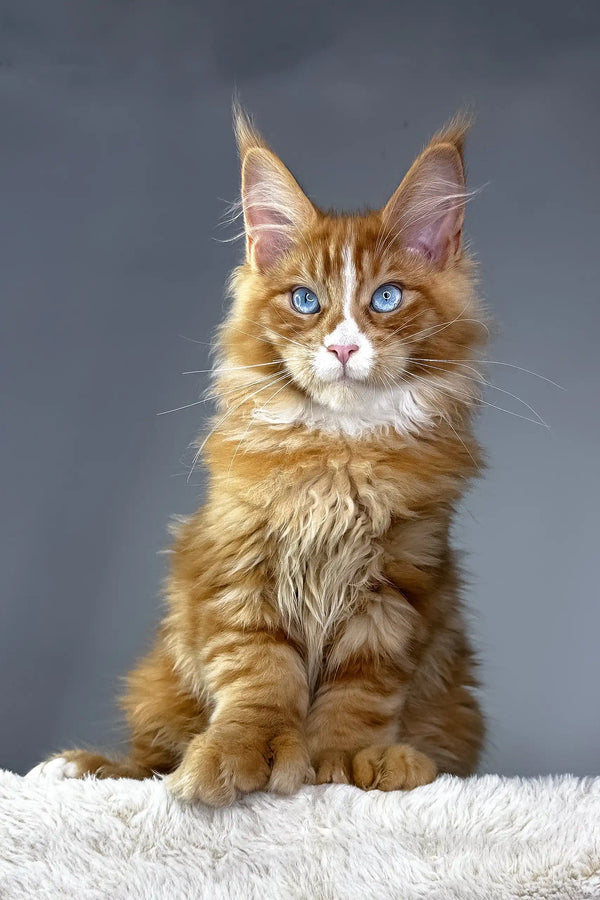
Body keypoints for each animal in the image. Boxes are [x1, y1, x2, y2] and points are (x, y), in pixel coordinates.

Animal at [30, 107, 486, 808]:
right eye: (305, 300)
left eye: (386, 298)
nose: (343, 348)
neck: (337, 454)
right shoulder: (242, 568)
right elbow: (260, 677)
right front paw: (244, 754)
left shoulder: (399, 581)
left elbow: (360, 691)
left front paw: (343, 762)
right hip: (160, 682)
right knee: (151, 755)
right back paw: (80, 767)